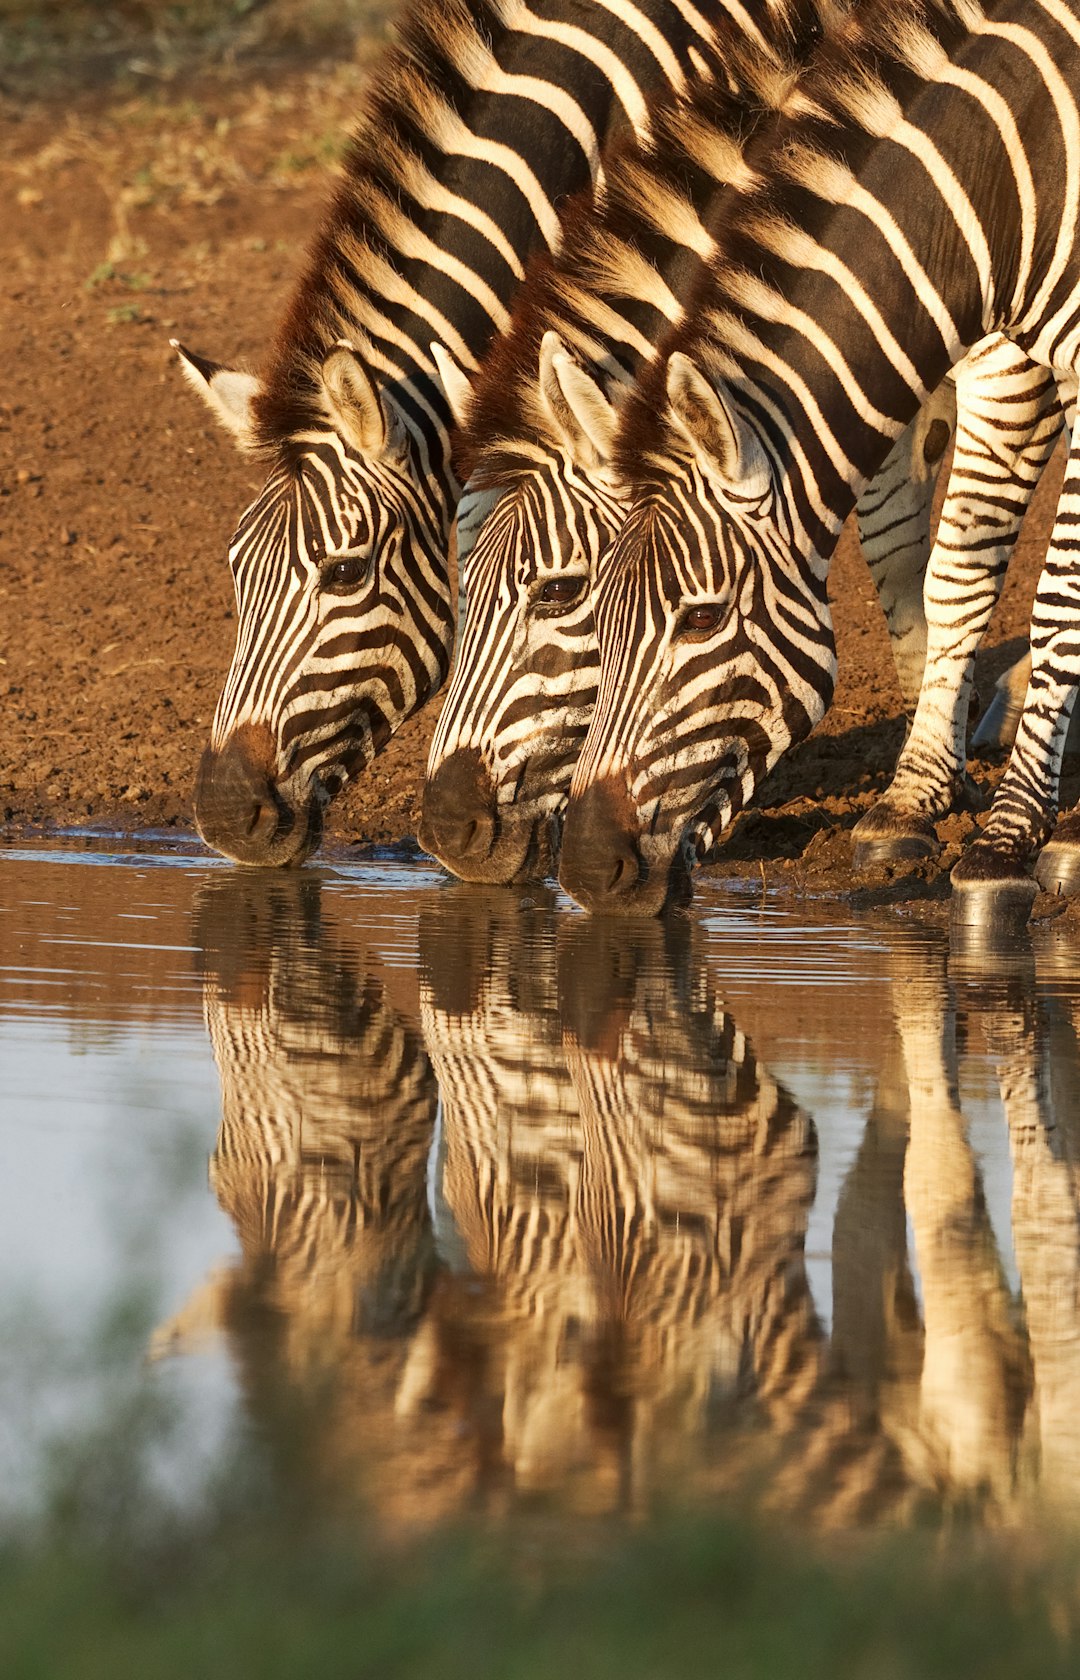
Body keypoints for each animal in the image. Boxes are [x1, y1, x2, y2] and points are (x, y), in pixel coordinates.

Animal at [557, 0, 1080, 920]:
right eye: (593, 611)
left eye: (701, 619)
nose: (587, 868)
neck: (1017, 184)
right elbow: (955, 577)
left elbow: (1058, 605)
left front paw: (1005, 842)